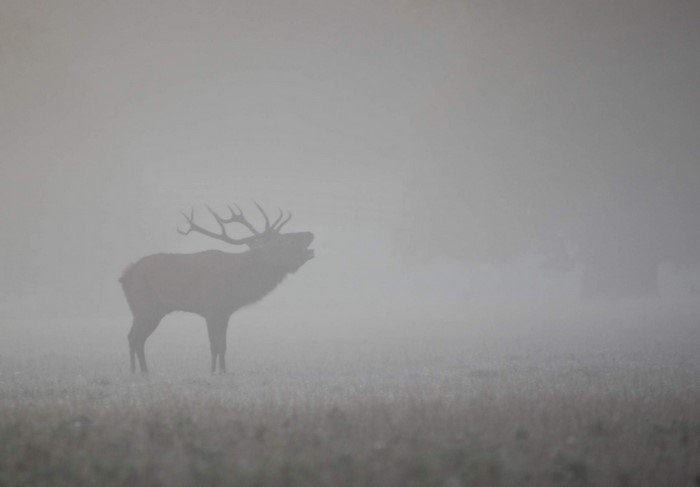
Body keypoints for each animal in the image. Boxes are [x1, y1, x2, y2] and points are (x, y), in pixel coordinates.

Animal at [119, 203, 314, 374]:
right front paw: (213, 372)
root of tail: (125, 275)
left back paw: (139, 371)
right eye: (283, 240)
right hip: (145, 306)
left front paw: (224, 371)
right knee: (135, 338)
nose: (310, 233)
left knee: (134, 337)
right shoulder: (212, 309)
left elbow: (223, 345)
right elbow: (214, 345)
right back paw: (138, 371)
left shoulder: (225, 312)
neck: (238, 283)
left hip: (149, 310)